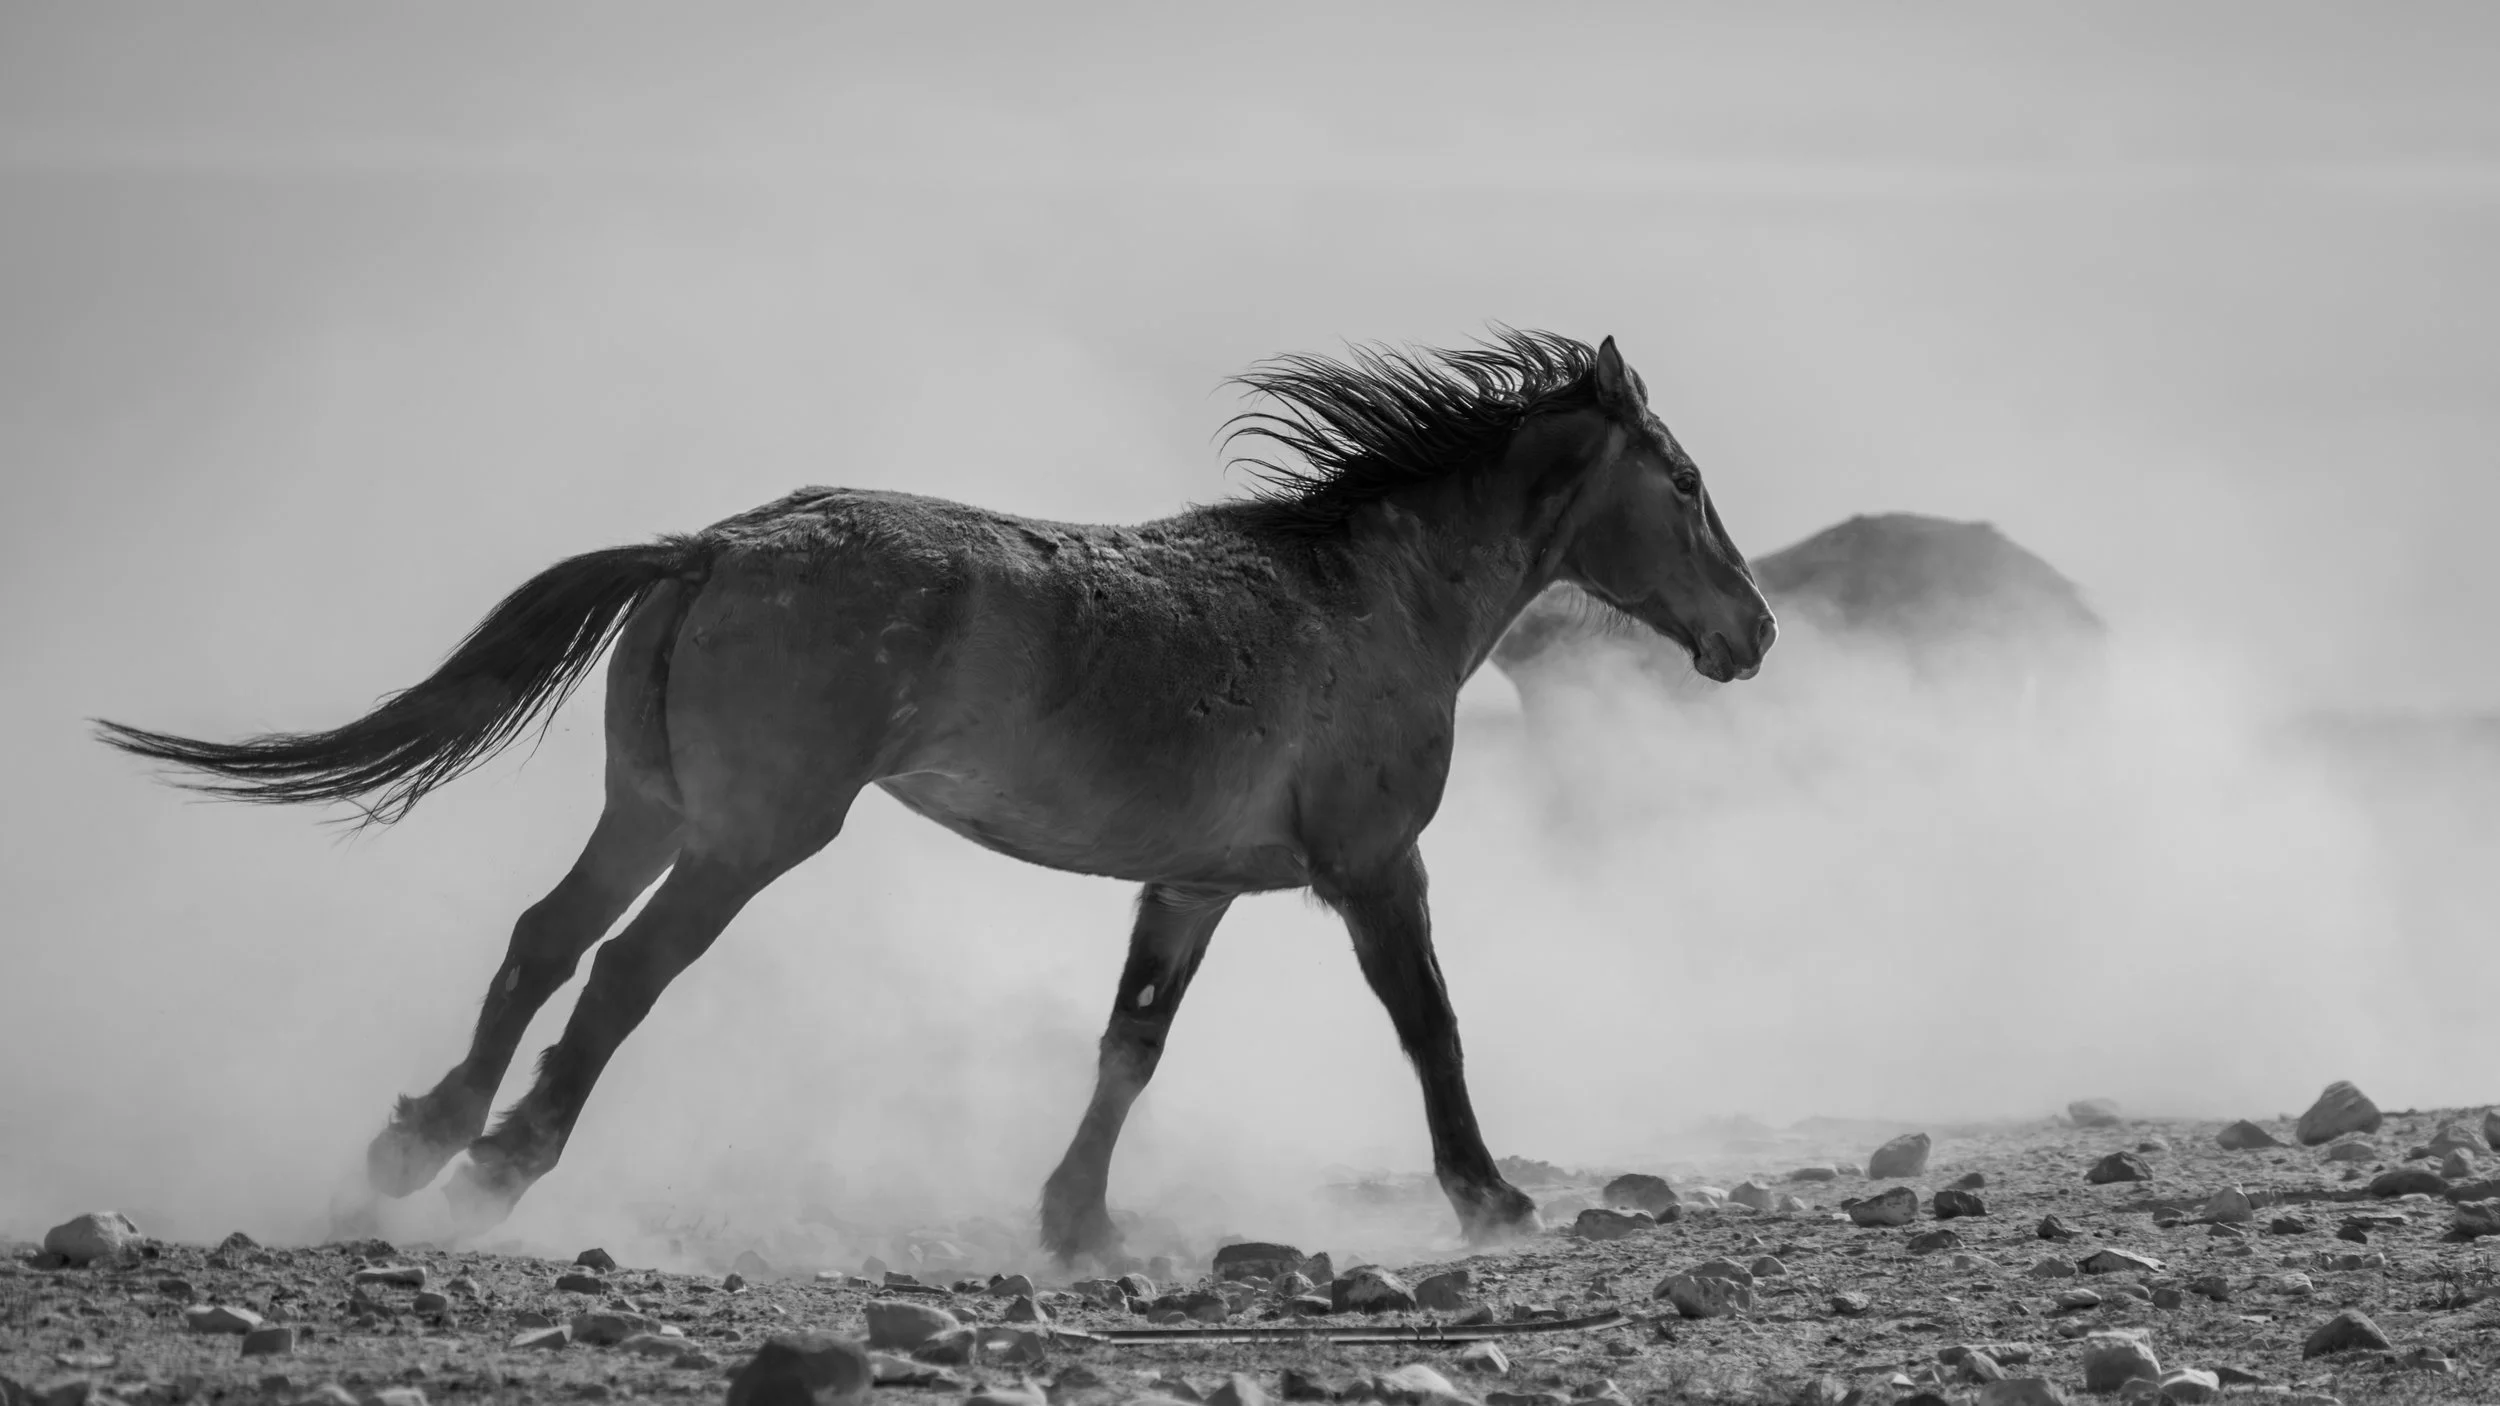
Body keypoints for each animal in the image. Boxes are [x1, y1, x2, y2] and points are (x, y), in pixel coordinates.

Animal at [96, 330, 1776, 1261]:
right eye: (1687, 481)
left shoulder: (1194, 884)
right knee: (623, 974)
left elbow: (1130, 1043)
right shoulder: (1373, 866)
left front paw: (1076, 1223)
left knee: (541, 943)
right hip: (751, 836)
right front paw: (1488, 1198)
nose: (1750, 635)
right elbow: (1431, 1023)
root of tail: (713, 544)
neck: (1367, 598)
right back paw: (496, 1172)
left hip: (650, 810)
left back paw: (410, 1148)